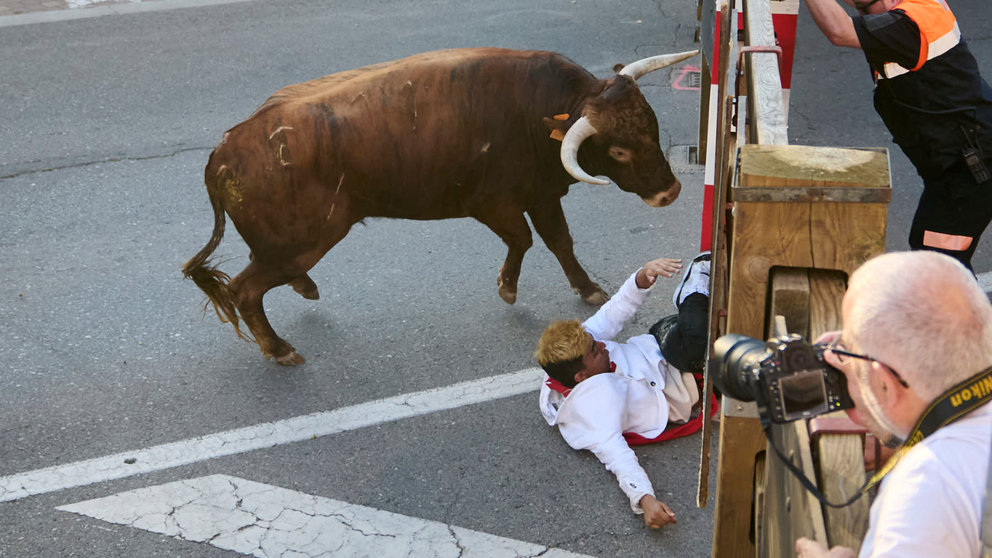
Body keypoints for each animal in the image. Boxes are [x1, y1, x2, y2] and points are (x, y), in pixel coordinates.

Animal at [182, 46, 692, 366]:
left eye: (651, 124)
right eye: (619, 150)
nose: (670, 193)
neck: (540, 111)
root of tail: (222, 152)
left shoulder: (542, 195)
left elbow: (559, 242)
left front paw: (588, 289)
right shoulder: (492, 203)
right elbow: (524, 239)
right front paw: (507, 288)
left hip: (284, 243)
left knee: (262, 273)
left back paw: (304, 289)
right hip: (303, 240)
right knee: (246, 289)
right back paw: (280, 349)